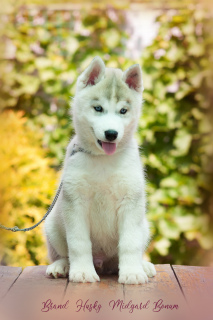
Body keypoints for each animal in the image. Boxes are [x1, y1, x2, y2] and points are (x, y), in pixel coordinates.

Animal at [44, 56, 156, 284]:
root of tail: (103, 263)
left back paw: (143, 266)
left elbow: (130, 243)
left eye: (123, 111)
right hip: (52, 225)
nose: (111, 133)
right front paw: (82, 272)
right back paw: (61, 266)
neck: (104, 160)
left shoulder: (131, 201)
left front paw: (132, 273)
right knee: (63, 253)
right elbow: (78, 243)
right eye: (98, 108)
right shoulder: (75, 201)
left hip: (144, 226)